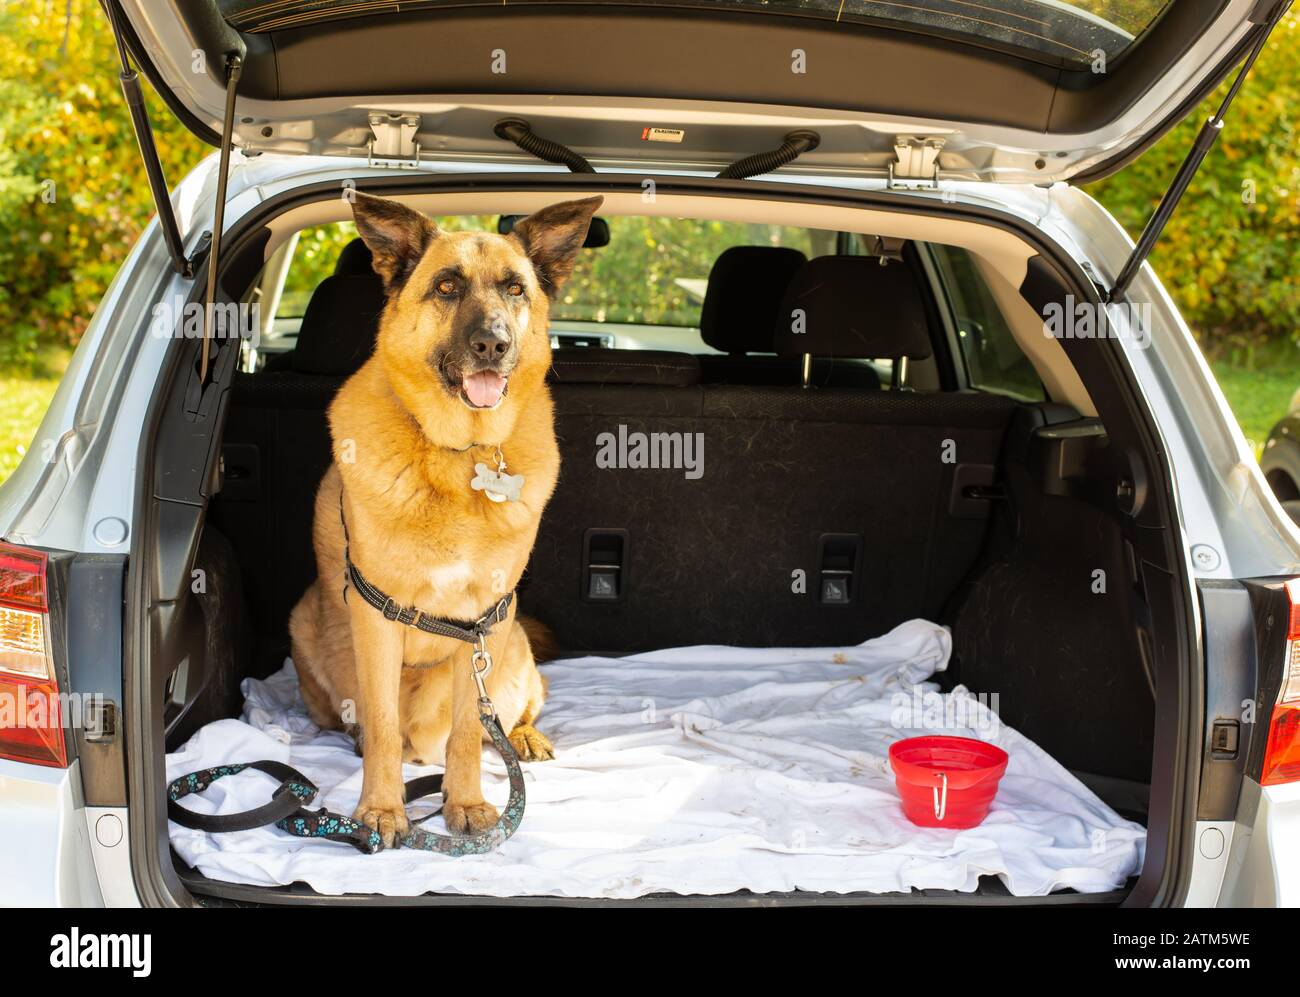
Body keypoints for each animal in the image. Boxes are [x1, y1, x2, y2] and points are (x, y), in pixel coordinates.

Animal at [292, 191, 600, 847]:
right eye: (448, 286)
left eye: (515, 288)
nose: (493, 344)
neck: (461, 455)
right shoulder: (376, 618)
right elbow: (384, 727)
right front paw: (382, 810)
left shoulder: (484, 622)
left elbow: (466, 732)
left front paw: (467, 803)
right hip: (305, 621)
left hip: (513, 652)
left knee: (515, 710)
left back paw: (525, 737)